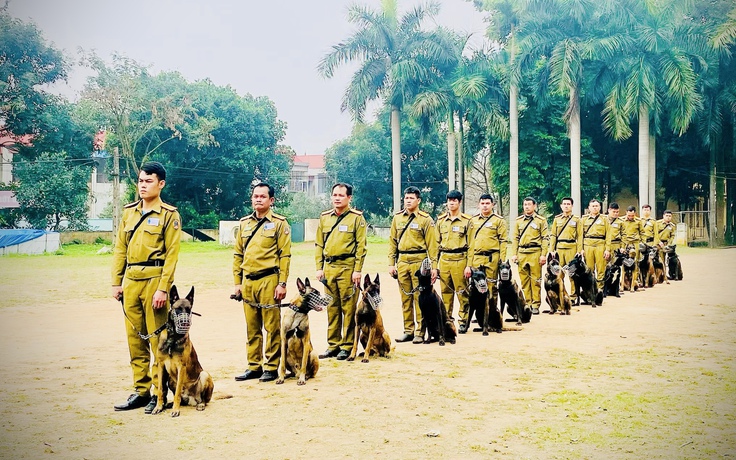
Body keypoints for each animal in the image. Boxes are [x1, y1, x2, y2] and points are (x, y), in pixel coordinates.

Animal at [152, 284, 213, 416]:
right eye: (178, 309)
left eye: (189, 309)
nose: (185, 323)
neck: (172, 338)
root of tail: (191, 399)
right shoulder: (161, 366)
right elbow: (160, 390)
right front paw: (158, 407)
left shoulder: (181, 367)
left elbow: (177, 393)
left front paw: (176, 409)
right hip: (170, 379)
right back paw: (169, 404)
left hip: (204, 374)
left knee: (203, 400)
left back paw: (200, 404)